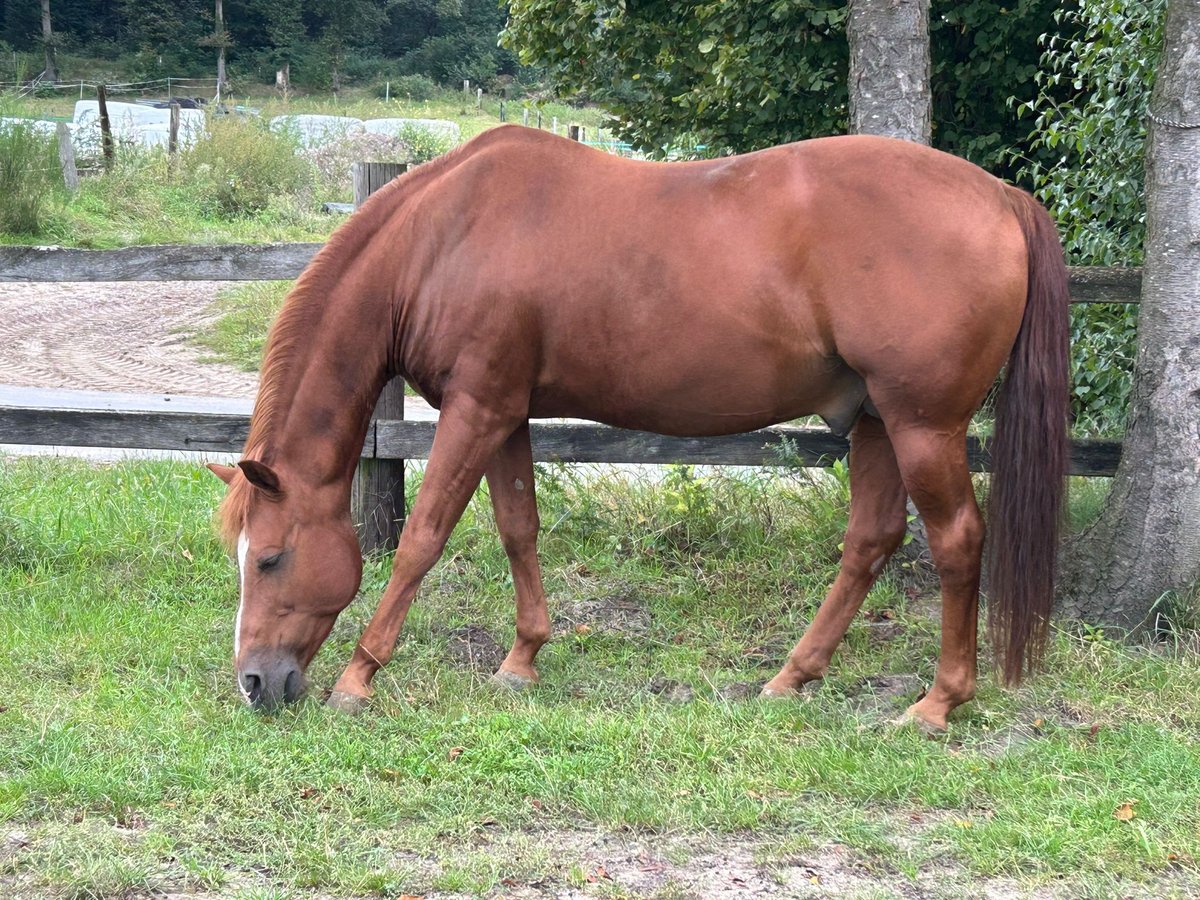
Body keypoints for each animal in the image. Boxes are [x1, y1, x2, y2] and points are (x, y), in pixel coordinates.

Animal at [206, 125, 1070, 734]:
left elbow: (423, 537)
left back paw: (937, 703)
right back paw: (792, 676)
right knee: (871, 540)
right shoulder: (504, 411)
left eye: (272, 558)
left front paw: (360, 677)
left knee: (957, 540)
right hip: (878, 423)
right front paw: (522, 659)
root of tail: (999, 195)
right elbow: (519, 526)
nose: (253, 682)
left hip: (924, 425)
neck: (445, 235)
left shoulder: (474, 410)